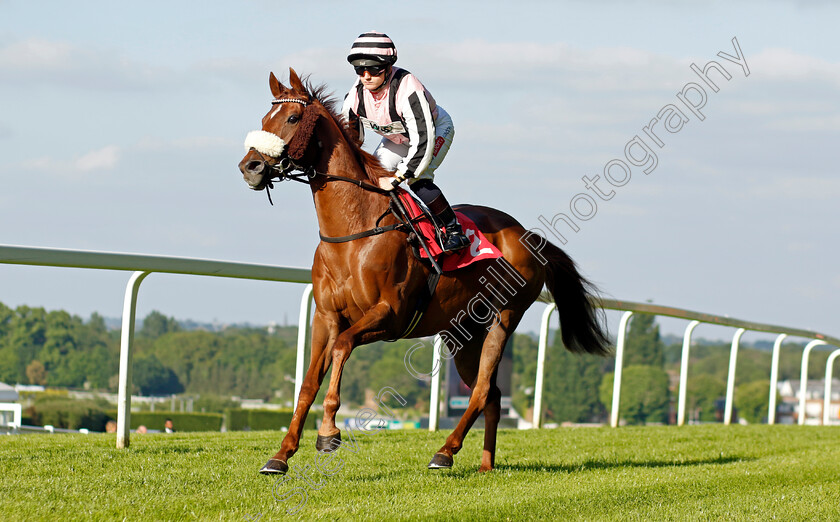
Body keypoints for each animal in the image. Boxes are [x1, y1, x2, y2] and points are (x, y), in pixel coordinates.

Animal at [240, 68, 608, 472]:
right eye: (264, 119)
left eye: (292, 118)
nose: (250, 167)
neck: (353, 233)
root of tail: (527, 234)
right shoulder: (325, 317)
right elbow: (308, 384)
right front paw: (281, 455)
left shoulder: (391, 314)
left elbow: (341, 347)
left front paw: (328, 433)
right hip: (462, 332)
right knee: (492, 393)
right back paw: (485, 464)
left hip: (504, 317)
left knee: (481, 389)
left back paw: (445, 451)